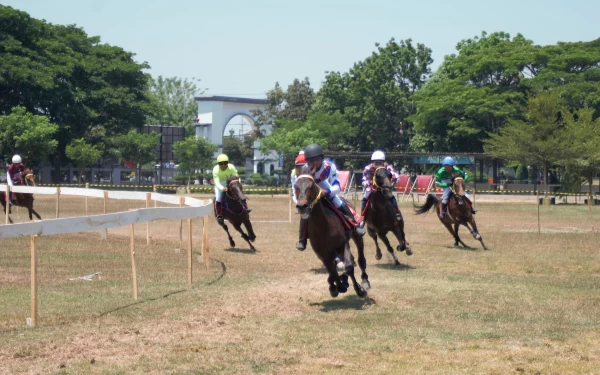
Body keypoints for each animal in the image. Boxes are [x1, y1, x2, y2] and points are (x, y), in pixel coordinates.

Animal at [296, 166, 370, 298]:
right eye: (296, 186)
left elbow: (349, 267)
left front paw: (359, 290)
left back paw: (364, 281)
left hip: (357, 236)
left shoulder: (343, 244)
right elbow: (332, 271)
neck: (323, 227)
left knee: (360, 260)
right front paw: (337, 286)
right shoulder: (322, 254)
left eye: (311, 185)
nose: (301, 206)